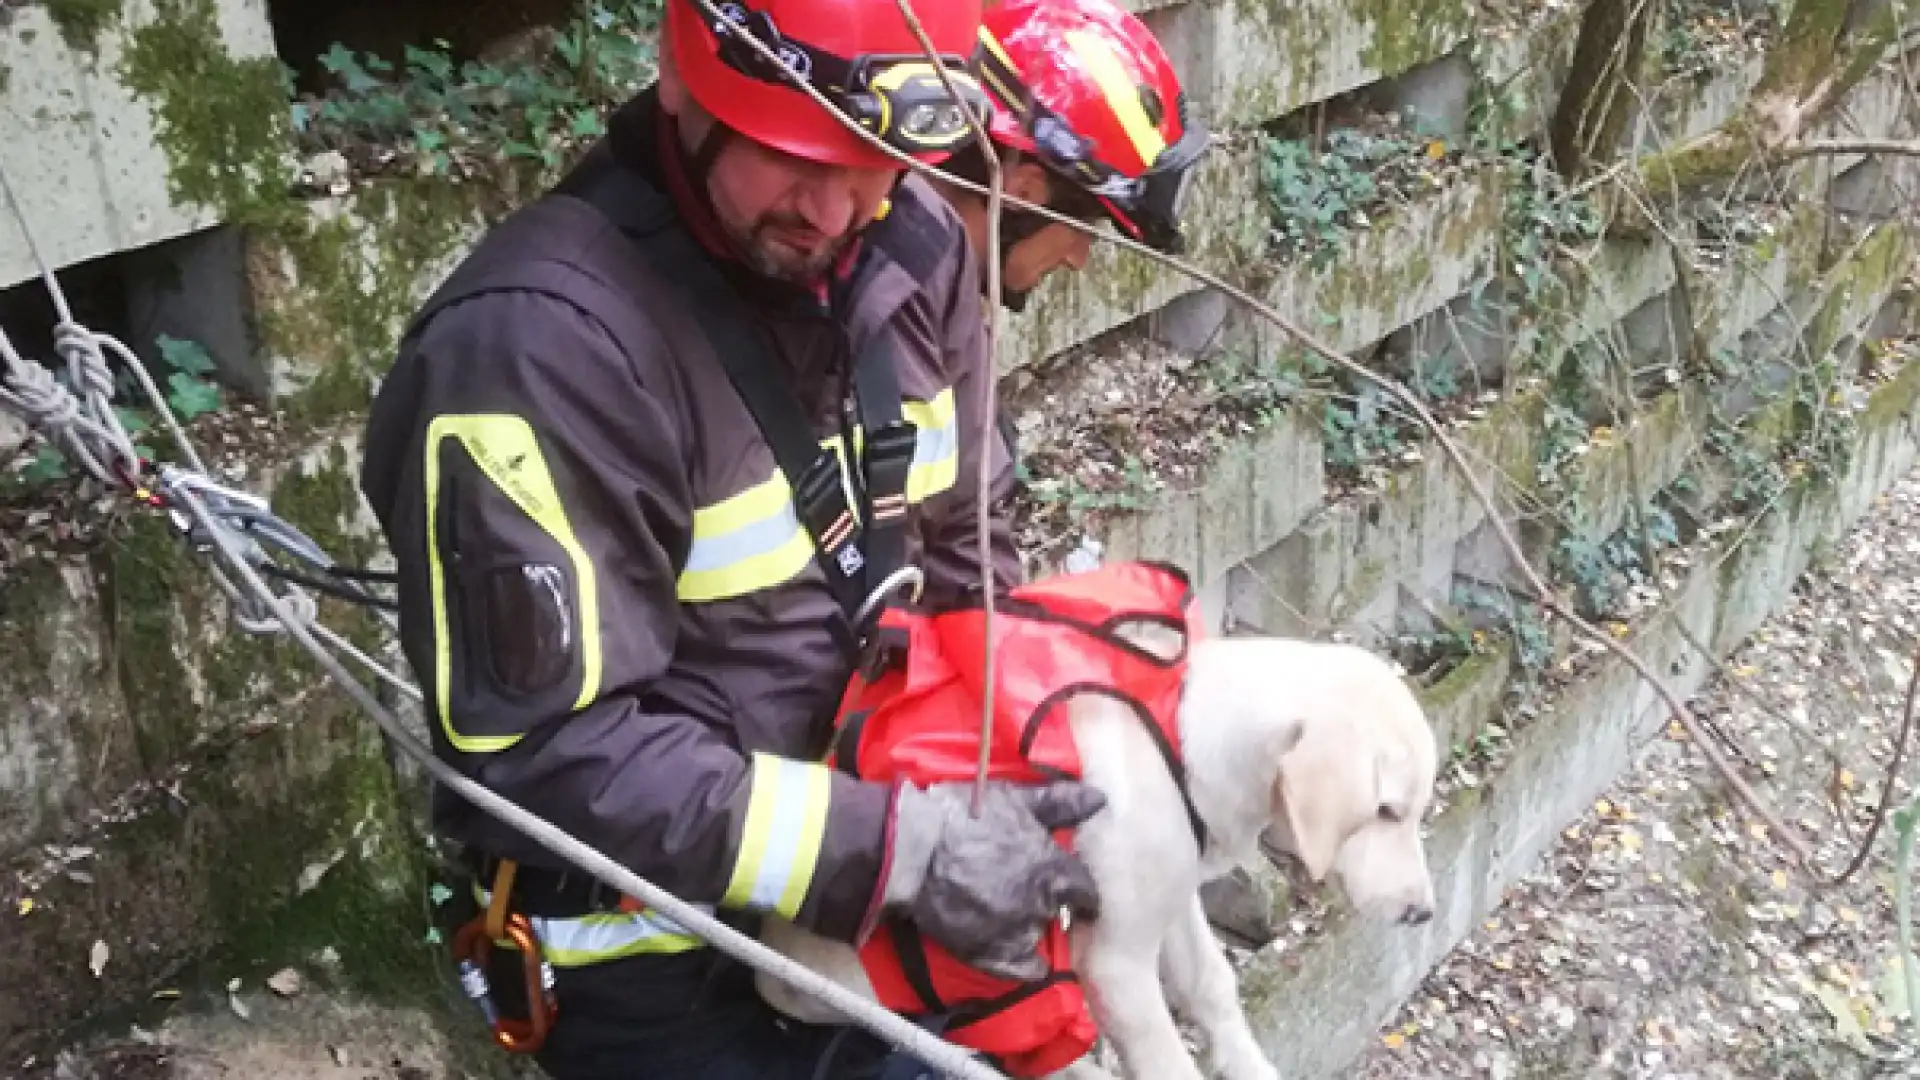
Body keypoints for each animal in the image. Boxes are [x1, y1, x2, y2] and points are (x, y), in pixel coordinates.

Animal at [756, 630, 1436, 1076]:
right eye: (1386, 812)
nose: (1423, 914)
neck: (1178, 741)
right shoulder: (1116, 963)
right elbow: (1166, 1064)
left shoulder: (1174, 899)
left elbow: (1213, 984)